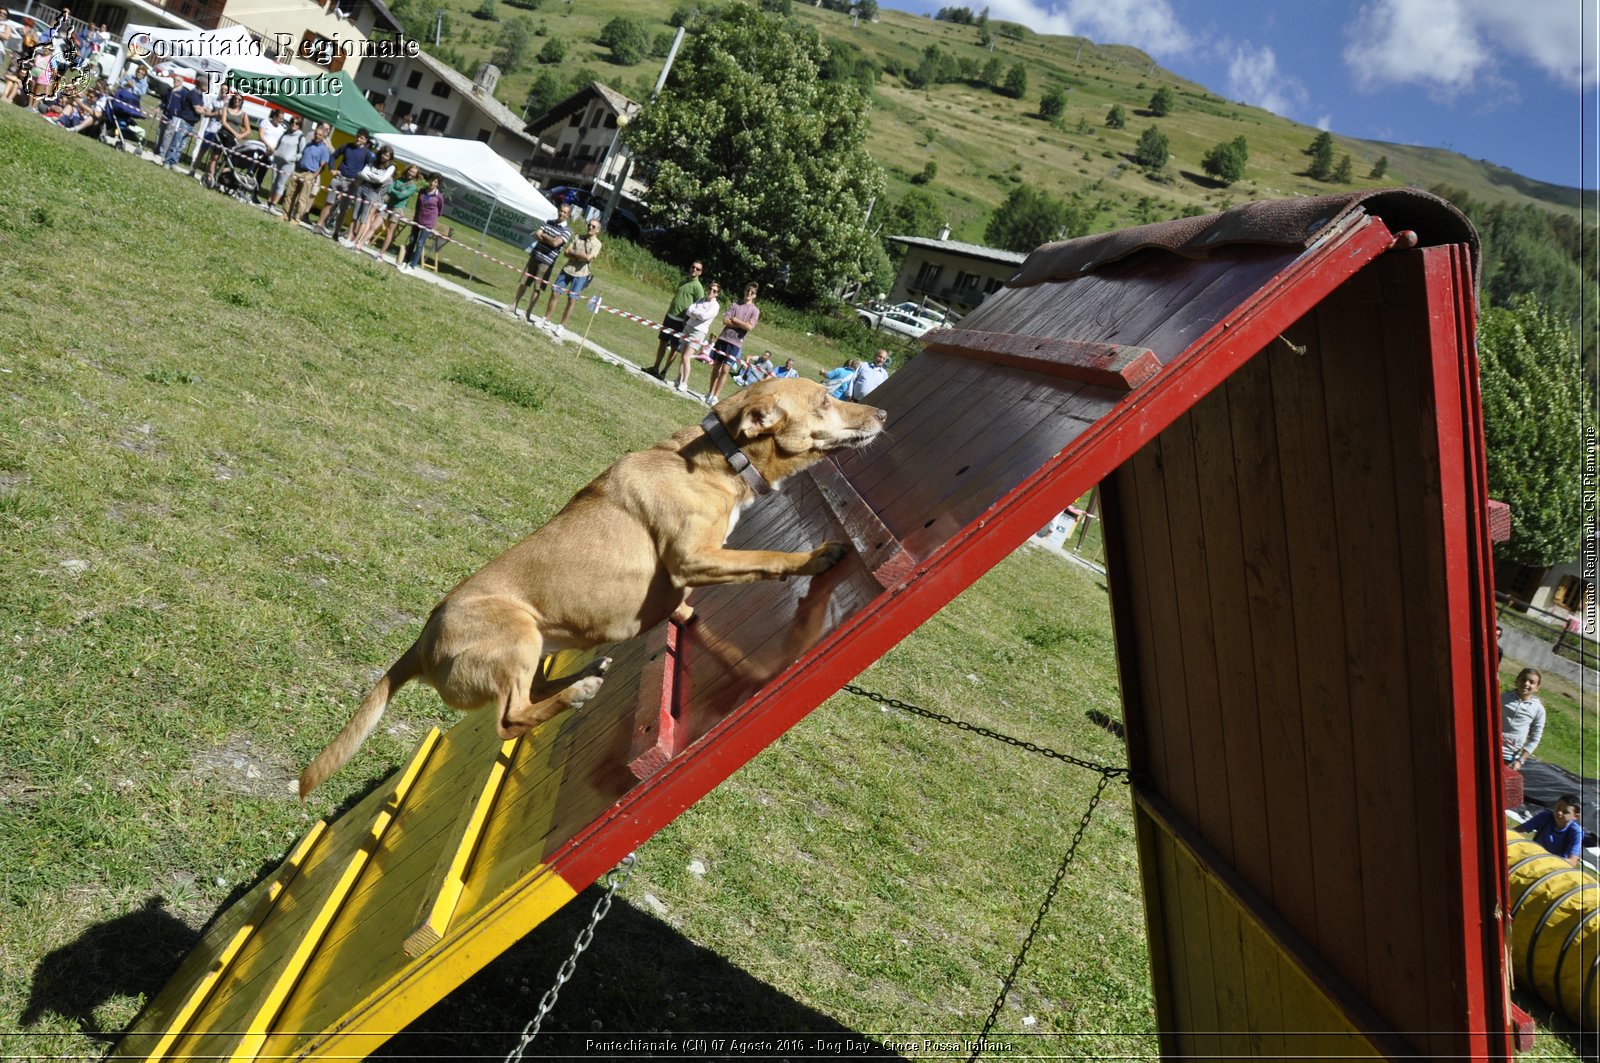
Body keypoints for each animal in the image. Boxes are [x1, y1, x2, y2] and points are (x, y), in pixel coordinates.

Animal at [300, 377, 889, 794]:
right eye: (825, 401)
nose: (882, 413)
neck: (719, 458)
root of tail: (419, 646)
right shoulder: (693, 558)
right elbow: (764, 558)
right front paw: (815, 556)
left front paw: (681, 616)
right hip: (518, 632)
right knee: (510, 719)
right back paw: (578, 689)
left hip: (538, 641)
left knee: (532, 693)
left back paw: (586, 673)